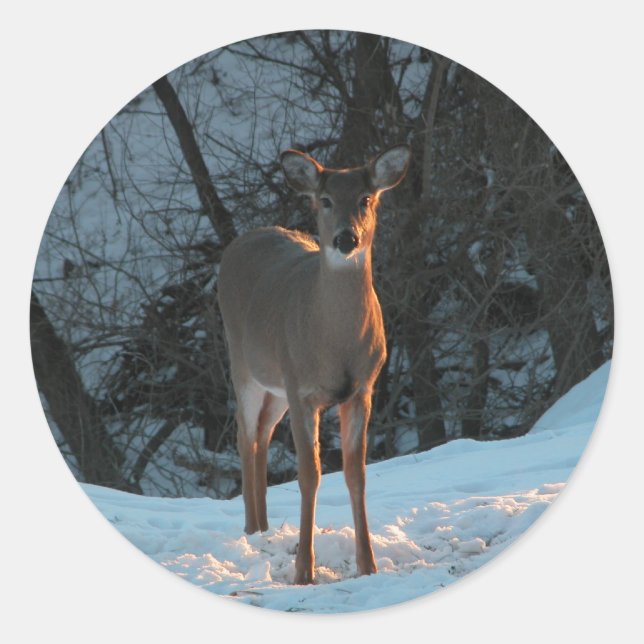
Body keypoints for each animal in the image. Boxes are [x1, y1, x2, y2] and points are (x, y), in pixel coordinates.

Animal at [217, 144, 411, 584]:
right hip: (243, 362)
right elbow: (310, 474)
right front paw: (304, 570)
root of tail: (242, 240)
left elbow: (356, 474)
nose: (346, 237)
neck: (335, 345)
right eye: (324, 200)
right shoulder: (303, 392)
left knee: (262, 434)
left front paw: (368, 564)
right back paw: (251, 530)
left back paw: (264, 528)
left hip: (276, 384)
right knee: (243, 433)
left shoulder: (361, 389)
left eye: (366, 198)